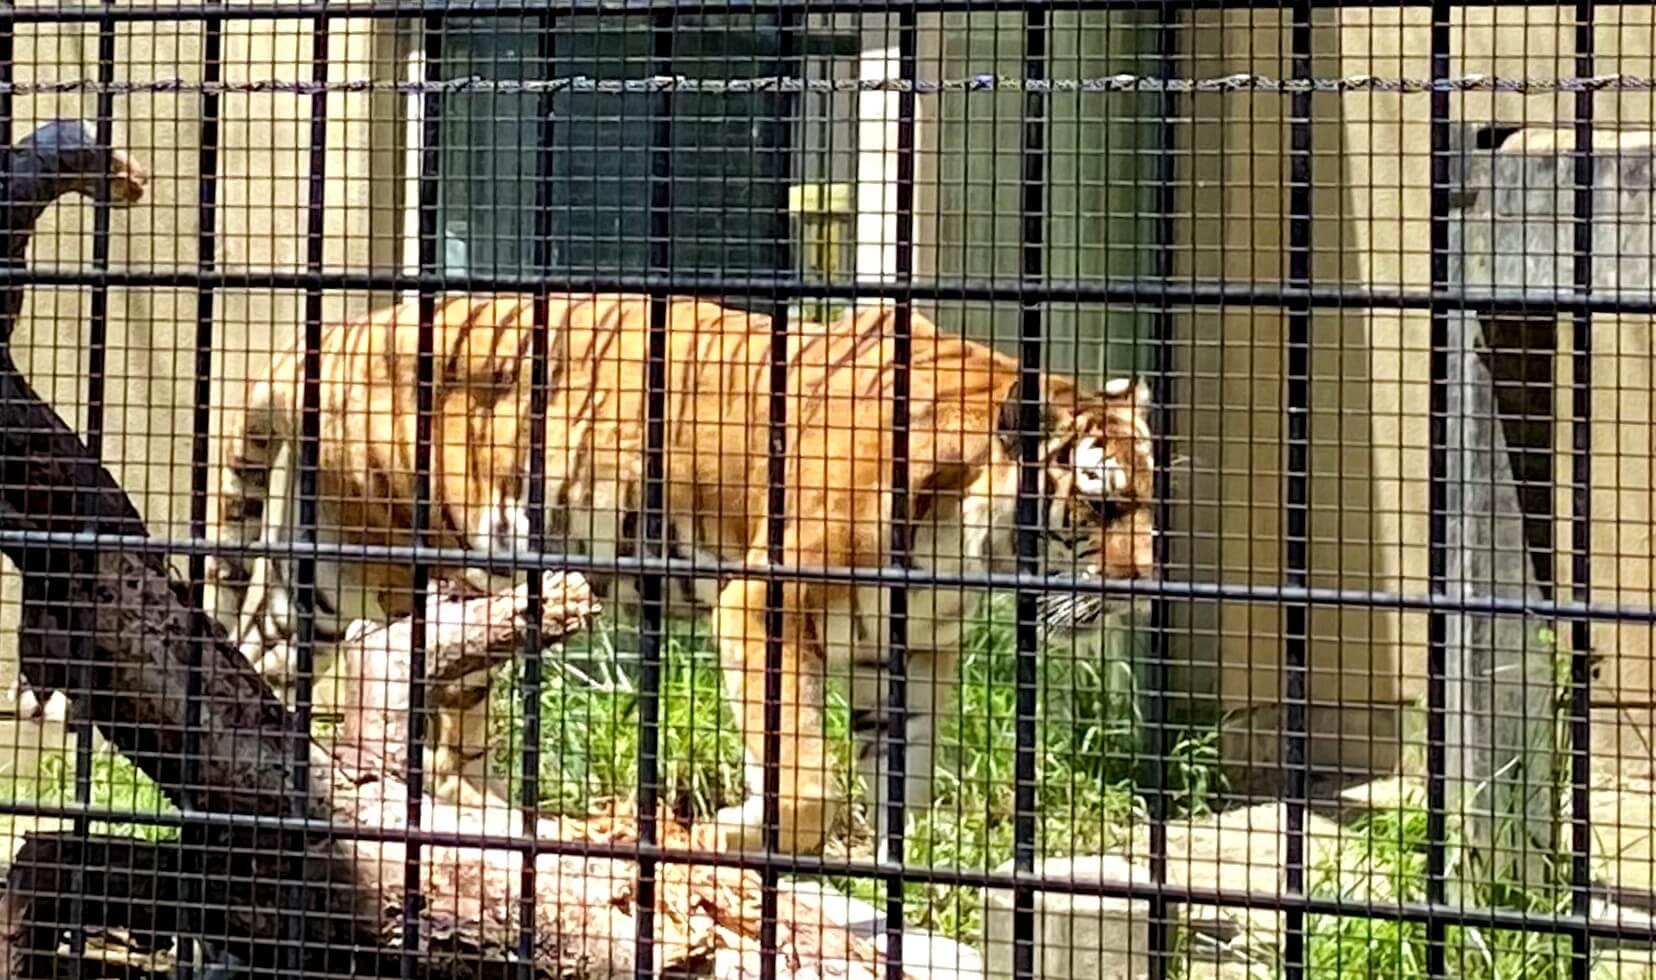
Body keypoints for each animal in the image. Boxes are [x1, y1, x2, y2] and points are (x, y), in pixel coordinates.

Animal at [207, 293, 1159, 860]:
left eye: (1154, 500)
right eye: (1105, 506)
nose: (1151, 582)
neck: (969, 550)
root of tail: (338, 333)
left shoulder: (914, 656)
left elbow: (910, 779)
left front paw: (892, 870)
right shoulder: (762, 603)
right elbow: (804, 773)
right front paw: (741, 834)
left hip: (334, 578)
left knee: (264, 658)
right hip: (412, 565)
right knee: (422, 699)